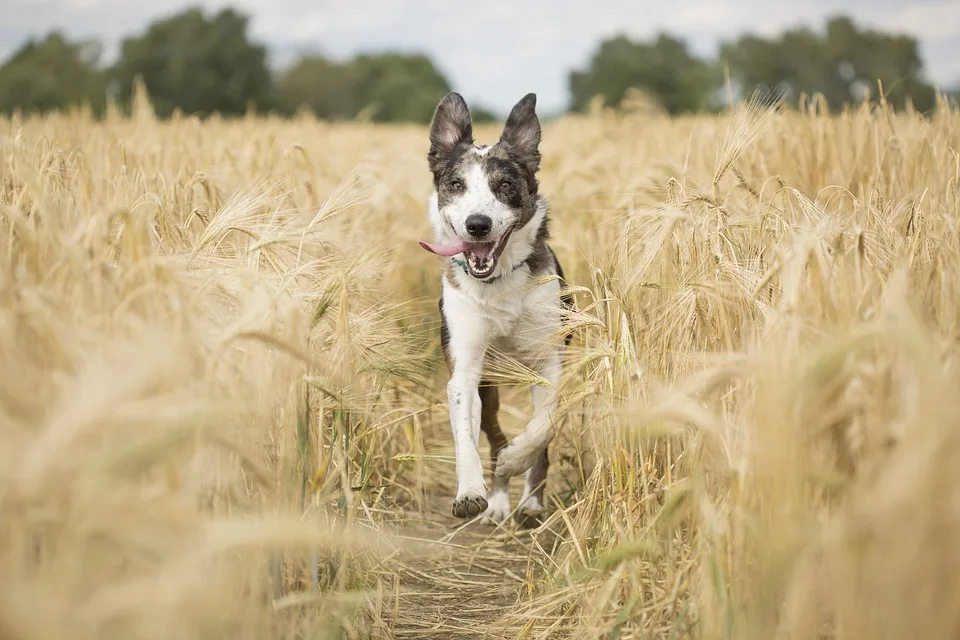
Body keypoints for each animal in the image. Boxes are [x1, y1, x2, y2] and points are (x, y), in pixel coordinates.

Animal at [418, 91, 568, 524]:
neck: (498, 283)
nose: (478, 225)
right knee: (493, 432)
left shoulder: (550, 362)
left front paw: (517, 462)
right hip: (490, 384)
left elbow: (543, 427)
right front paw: (471, 492)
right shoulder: (466, 369)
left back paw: (529, 500)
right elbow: (465, 435)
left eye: (505, 185)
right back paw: (499, 500)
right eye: (456, 185)